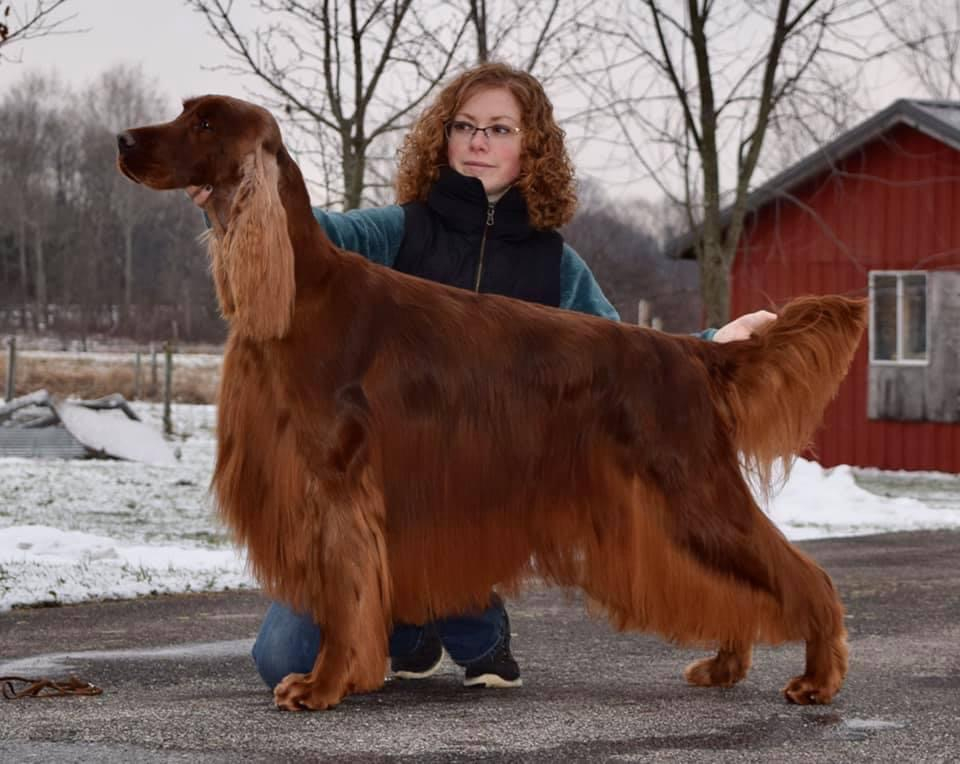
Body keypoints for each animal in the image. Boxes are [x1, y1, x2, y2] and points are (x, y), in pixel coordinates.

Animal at [116, 98, 868, 712]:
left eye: (203, 122)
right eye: (185, 112)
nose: (121, 139)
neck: (301, 292)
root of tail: (690, 352)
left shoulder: (336, 486)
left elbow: (344, 593)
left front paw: (324, 685)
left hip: (694, 494)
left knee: (805, 576)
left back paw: (818, 678)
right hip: (667, 509)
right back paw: (725, 665)